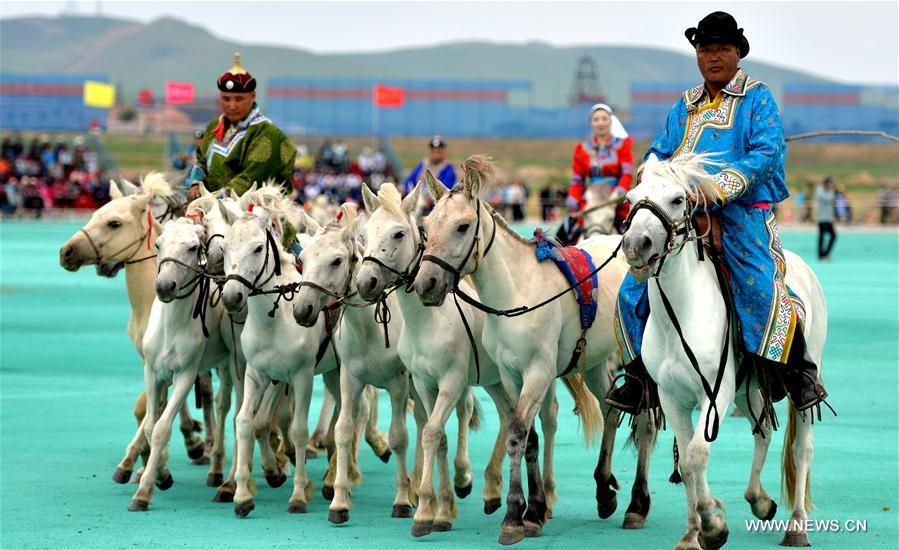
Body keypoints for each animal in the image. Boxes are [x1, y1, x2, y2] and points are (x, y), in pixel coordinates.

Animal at [414, 157, 620, 544]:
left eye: (462, 226)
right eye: (426, 226)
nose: (425, 284)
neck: (516, 294)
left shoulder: (537, 373)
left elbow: (516, 435)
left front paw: (513, 516)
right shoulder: (512, 376)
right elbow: (530, 438)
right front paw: (534, 511)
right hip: (596, 363)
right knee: (611, 411)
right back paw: (603, 490)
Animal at [624, 152, 828, 550]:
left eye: (677, 199)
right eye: (631, 198)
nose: (636, 244)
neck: (681, 314)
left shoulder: (714, 392)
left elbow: (697, 453)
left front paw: (713, 525)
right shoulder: (672, 397)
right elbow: (687, 460)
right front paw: (694, 532)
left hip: (797, 387)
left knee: (803, 449)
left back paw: (797, 526)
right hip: (747, 391)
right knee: (762, 434)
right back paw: (759, 501)